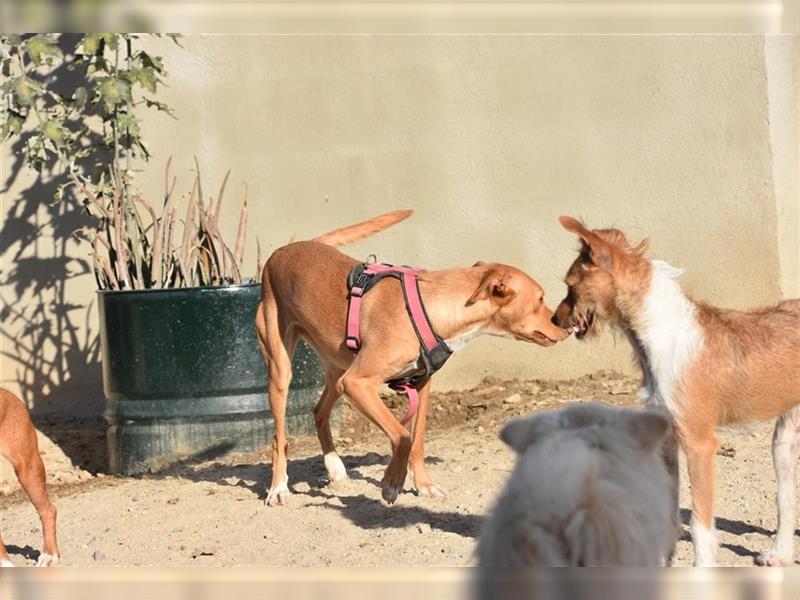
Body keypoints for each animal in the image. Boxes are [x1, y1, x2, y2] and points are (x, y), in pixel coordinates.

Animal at [258, 211, 568, 506]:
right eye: (540, 299)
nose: (566, 327)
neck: (433, 306)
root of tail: (286, 249)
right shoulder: (359, 383)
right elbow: (403, 436)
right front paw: (392, 483)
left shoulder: (420, 384)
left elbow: (416, 441)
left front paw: (423, 485)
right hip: (284, 368)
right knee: (278, 438)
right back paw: (278, 488)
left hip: (338, 372)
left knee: (319, 413)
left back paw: (334, 467)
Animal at [552, 217, 800, 568]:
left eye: (570, 284)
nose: (554, 319)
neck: (662, 335)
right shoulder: (667, 441)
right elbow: (668, 513)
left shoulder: (700, 445)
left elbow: (700, 524)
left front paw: (703, 569)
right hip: (784, 440)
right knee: (786, 497)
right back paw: (780, 553)